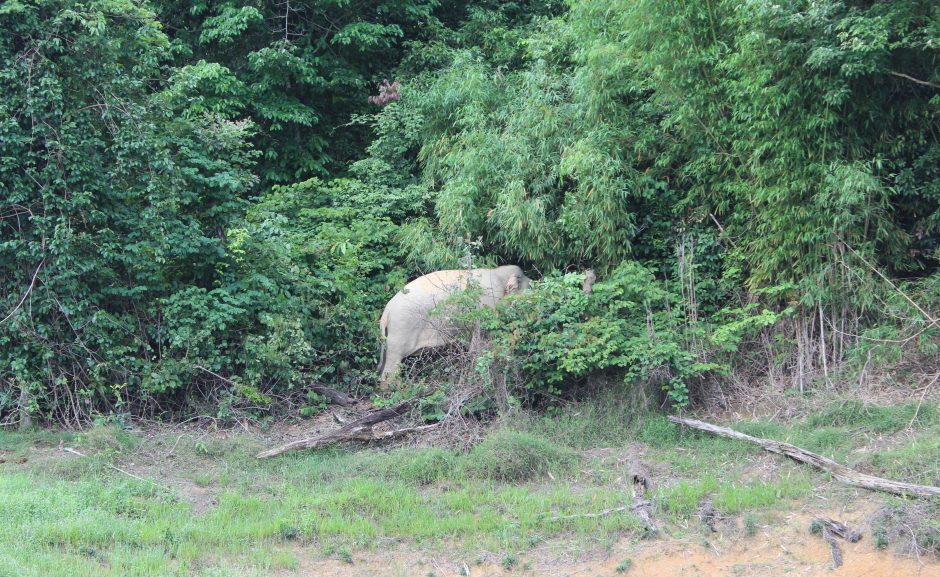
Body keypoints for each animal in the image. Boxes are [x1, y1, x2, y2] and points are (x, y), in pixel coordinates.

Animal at [378, 264, 532, 382]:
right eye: (531, 288)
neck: (498, 273)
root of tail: (386, 312)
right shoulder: (486, 306)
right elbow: (480, 345)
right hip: (400, 330)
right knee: (392, 365)